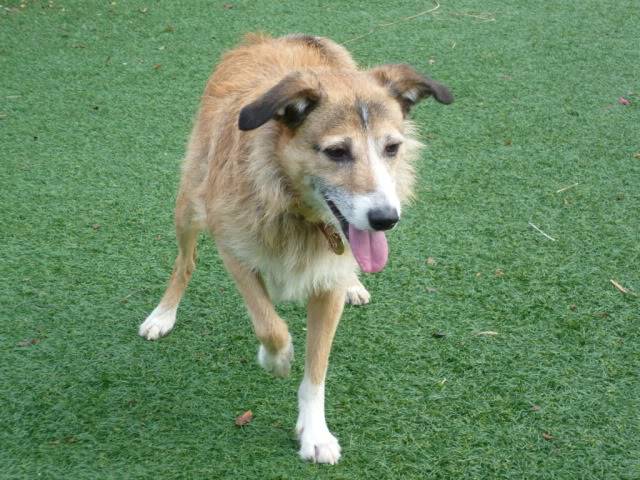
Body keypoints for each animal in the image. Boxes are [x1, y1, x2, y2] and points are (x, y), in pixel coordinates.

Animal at [138, 31, 452, 464]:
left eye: (392, 148)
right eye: (337, 152)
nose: (386, 219)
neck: (296, 208)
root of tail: (275, 38)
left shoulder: (328, 286)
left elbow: (317, 368)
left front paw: (315, 433)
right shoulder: (233, 251)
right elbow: (270, 325)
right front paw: (275, 360)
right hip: (188, 206)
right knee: (185, 262)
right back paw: (163, 314)